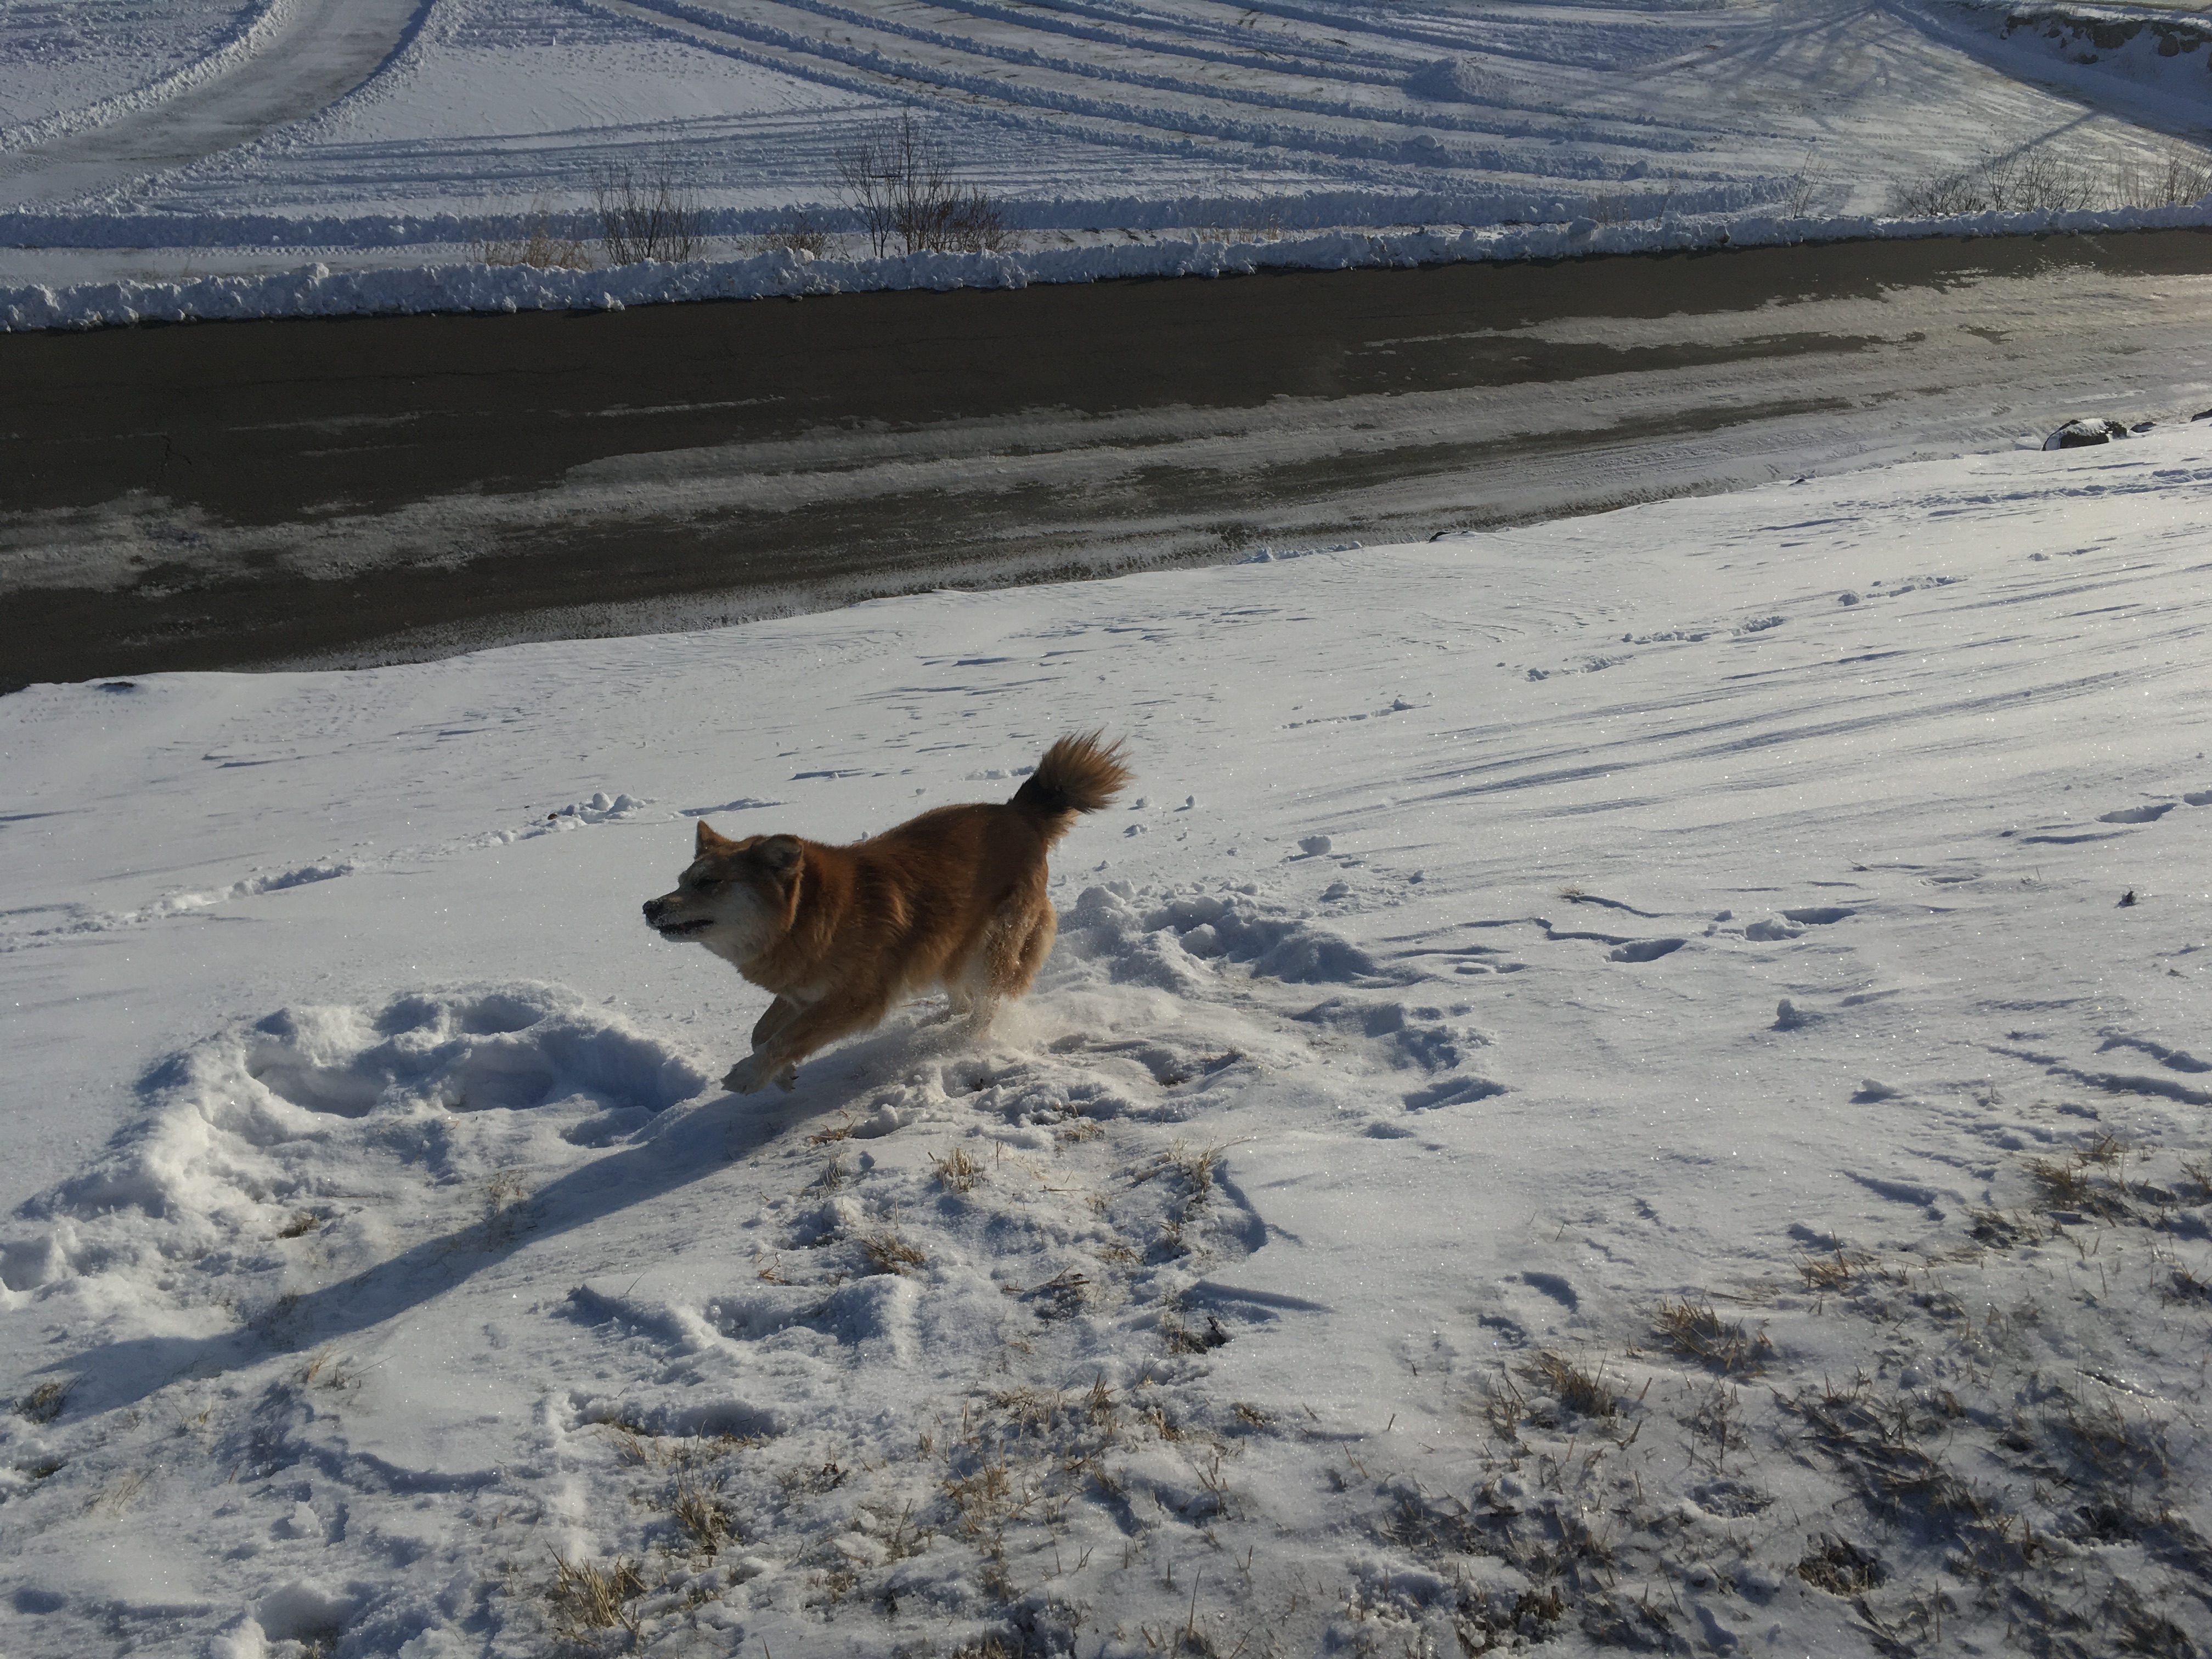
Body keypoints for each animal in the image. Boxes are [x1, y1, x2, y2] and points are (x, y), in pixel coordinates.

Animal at [637, 734, 1124, 1097]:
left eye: (708, 883)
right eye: (682, 879)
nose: (649, 907)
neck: (811, 916)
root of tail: (1018, 810)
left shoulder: (855, 999)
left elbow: (787, 1037)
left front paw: (750, 1074)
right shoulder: (803, 992)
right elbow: (762, 1032)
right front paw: (782, 1073)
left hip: (994, 941)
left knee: (989, 1003)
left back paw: (960, 1039)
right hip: (946, 943)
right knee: (964, 993)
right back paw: (943, 1018)